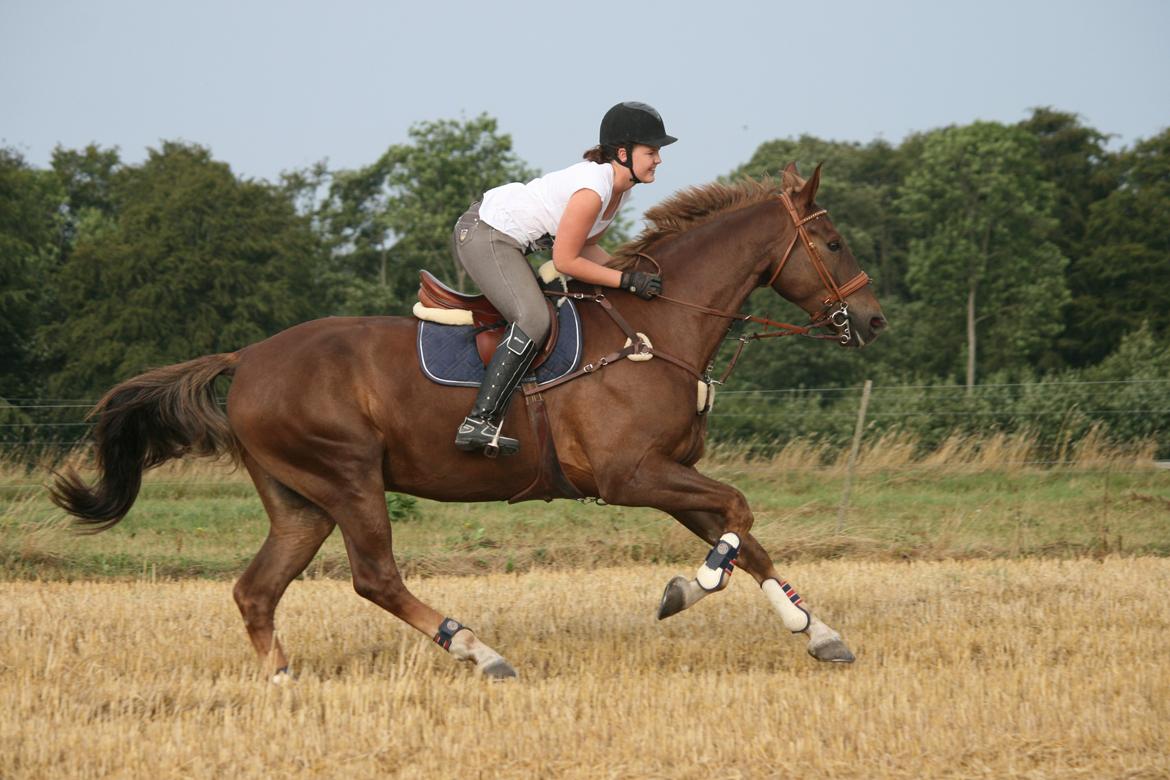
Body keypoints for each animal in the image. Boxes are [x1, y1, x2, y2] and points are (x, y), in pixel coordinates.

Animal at [47, 163, 884, 678]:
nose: (873, 321)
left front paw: (818, 632)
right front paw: (688, 589)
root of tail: (247, 356)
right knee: (375, 576)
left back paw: (283, 682)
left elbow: (744, 534)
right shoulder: (631, 476)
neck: (659, 325)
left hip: (300, 499)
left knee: (258, 589)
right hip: (347, 477)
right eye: (833, 241)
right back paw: (479, 652)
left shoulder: (670, 473)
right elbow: (737, 517)